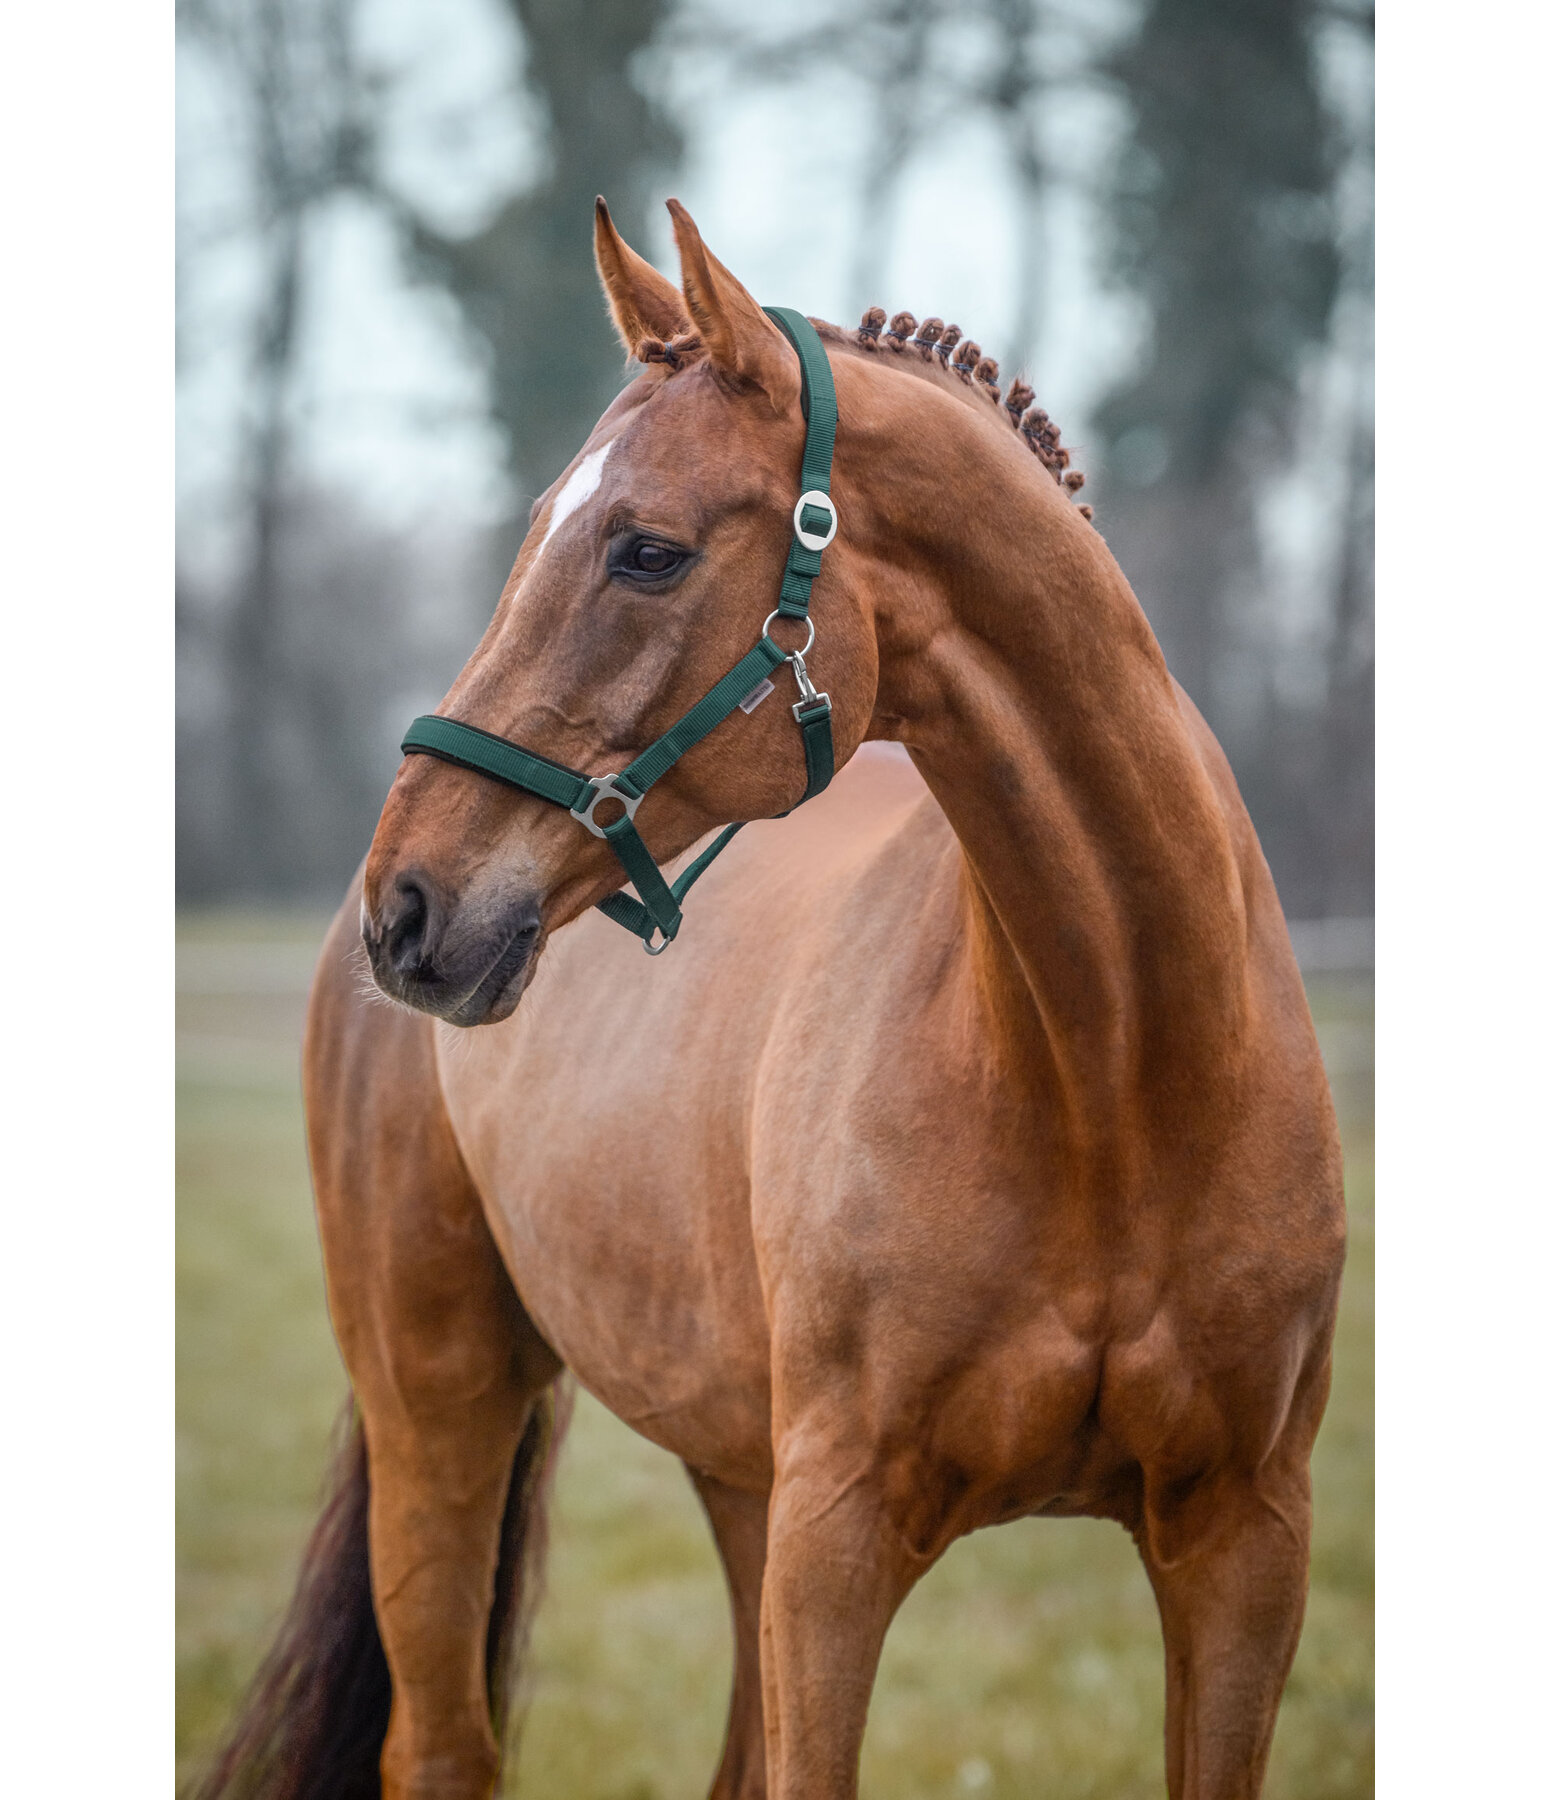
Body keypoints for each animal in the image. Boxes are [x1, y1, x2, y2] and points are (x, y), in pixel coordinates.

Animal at [205, 200, 1339, 1800]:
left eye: (646, 550)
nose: (410, 905)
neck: (1115, 1078)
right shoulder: (837, 1540)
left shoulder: (1244, 1543)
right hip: (441, 1405)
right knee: (439, 1747)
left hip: (733, 1472)